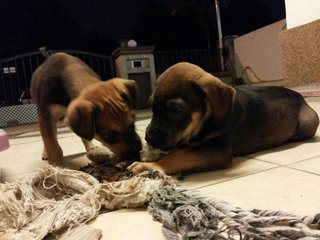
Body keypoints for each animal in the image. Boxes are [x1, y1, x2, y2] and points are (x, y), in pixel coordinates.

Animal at [128, 62, 320, 174]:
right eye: (152, 105)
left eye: (176, 109)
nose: (148, 138)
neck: (206, 119)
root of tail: (300, 96)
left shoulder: (219, 149)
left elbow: (180, 155)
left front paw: (152, 166)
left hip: (308, 122)